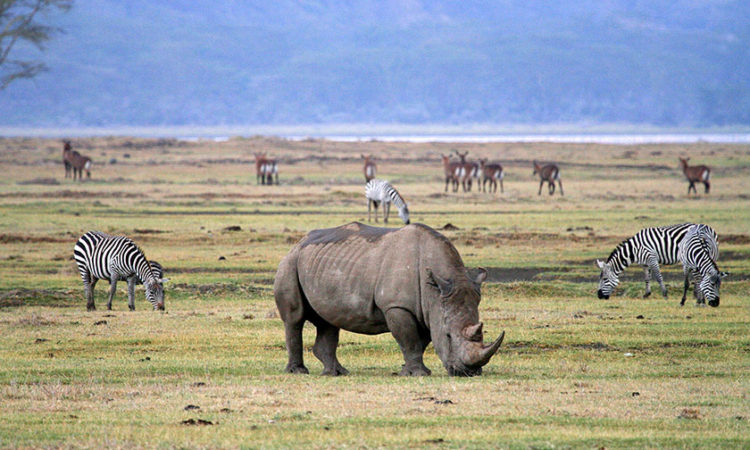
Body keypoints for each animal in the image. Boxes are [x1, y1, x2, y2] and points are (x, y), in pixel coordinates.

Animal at [273, 222, 504, 376]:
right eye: (448, 336)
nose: (469, 372)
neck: (436, 289)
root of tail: (299, 242)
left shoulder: (428, 310)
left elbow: (420, 341)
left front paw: (407, 371)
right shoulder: (397, 306)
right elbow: (409, 339)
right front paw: (418, 374)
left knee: (329, 321)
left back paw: (337, 373)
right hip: (290, 262)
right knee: (294, 319)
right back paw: (298, 372)